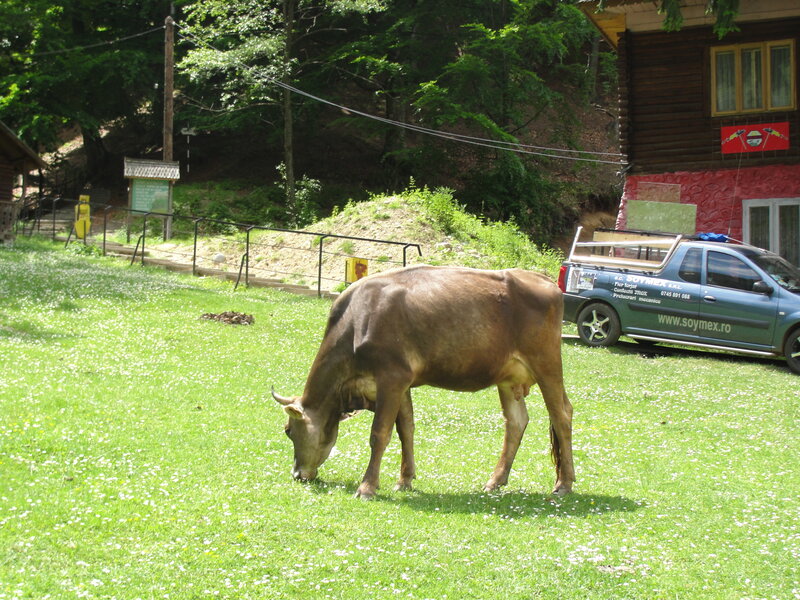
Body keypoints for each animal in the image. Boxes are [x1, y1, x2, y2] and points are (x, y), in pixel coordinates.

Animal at [272, 265, 574, 499]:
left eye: (288, 430)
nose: (297, 474)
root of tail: (545, 280)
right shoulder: (402, 384)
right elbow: (406, 429)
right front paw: (404, 480)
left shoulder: (392, 378)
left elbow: (379, 434)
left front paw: (367, 487)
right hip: (510, 377)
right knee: (516, 422)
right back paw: (495, 481)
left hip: (546, 363)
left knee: (561, 414)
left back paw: (564, 484)